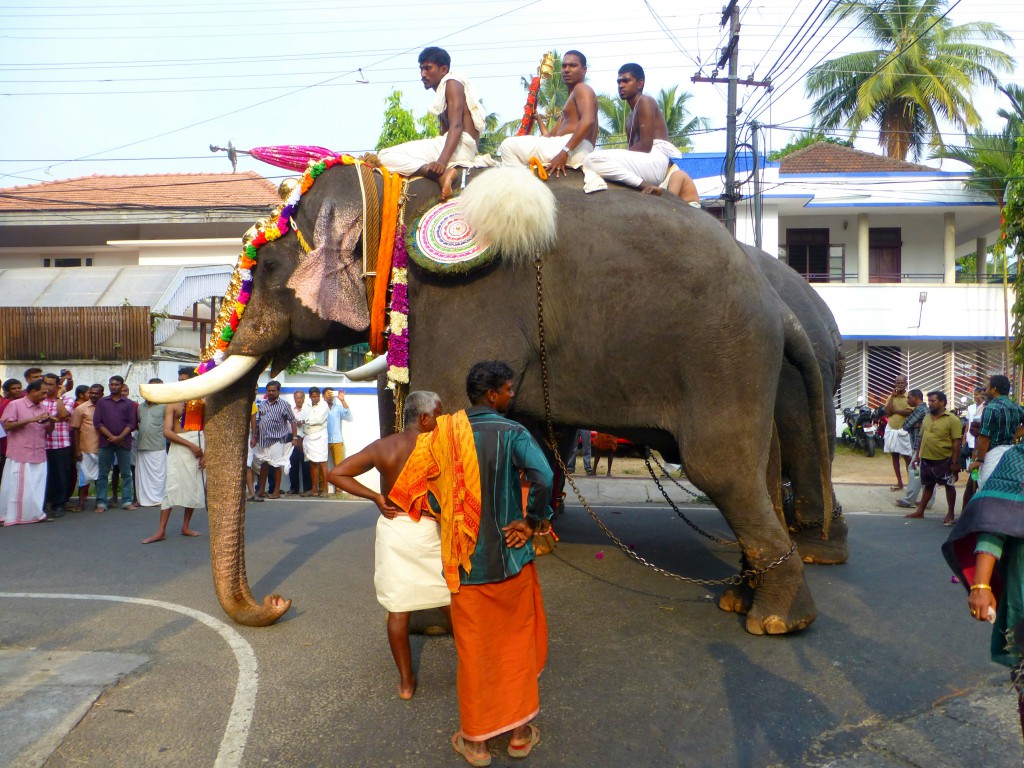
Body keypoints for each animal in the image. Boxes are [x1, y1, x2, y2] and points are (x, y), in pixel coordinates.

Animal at [142, 160, 831, 638]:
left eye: (265, 268)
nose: (275, 605)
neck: (393, 192)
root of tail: (774, 300)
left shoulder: (460, 303)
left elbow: (445, 417)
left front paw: (435, 620)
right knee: (758, 470)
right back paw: (744, 599)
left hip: (723, 355)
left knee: (723, 469)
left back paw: (775, 622)